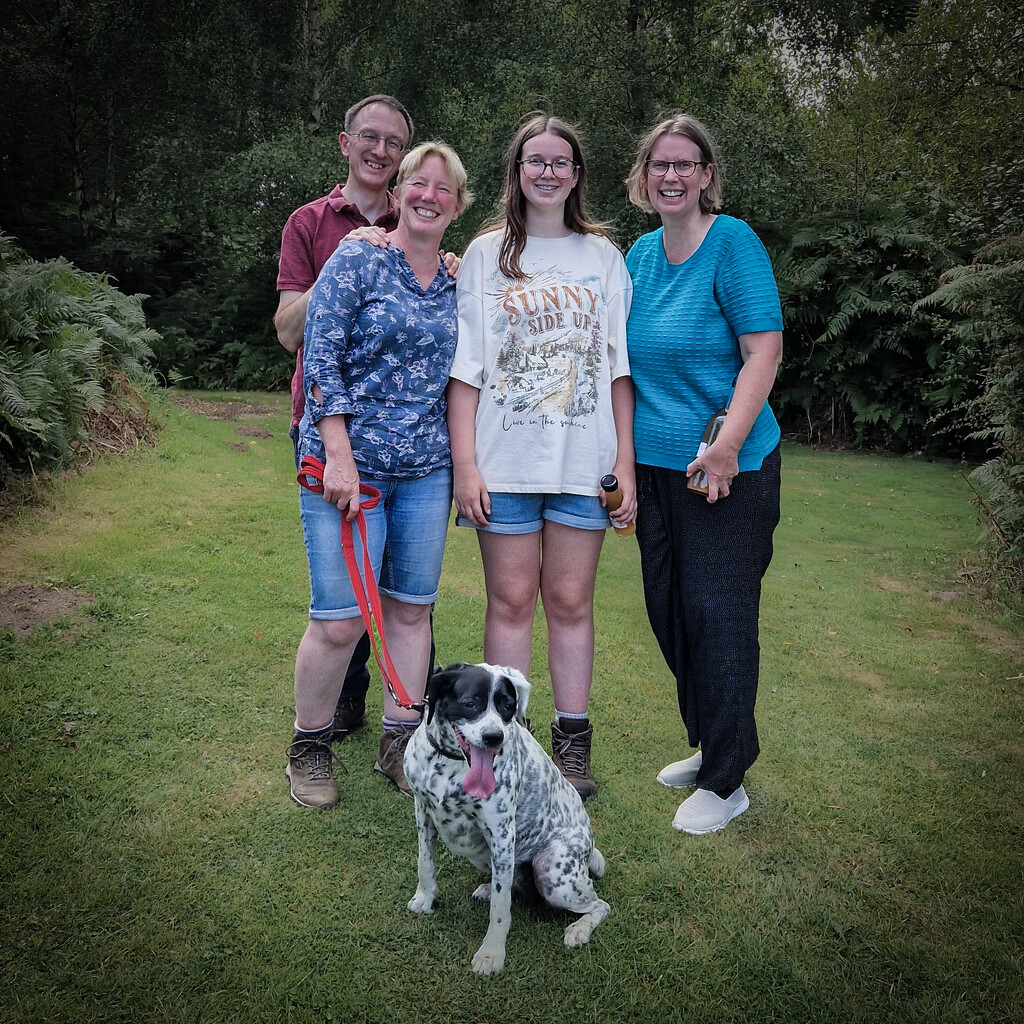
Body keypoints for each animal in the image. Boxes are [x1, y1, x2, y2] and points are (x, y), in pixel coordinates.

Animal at [399, 659, 606, 970]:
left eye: (508, 706)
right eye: (470, 703)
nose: (494, 737)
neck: (450, 765)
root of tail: (588, 849)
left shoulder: (501, 834)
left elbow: (500, 909)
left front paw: (492, 953)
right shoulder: (423, 812)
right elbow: (425, 862)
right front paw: (425, 898)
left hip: (551, 869)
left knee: (599, 904)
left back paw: (579, 929)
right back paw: (488, 889)